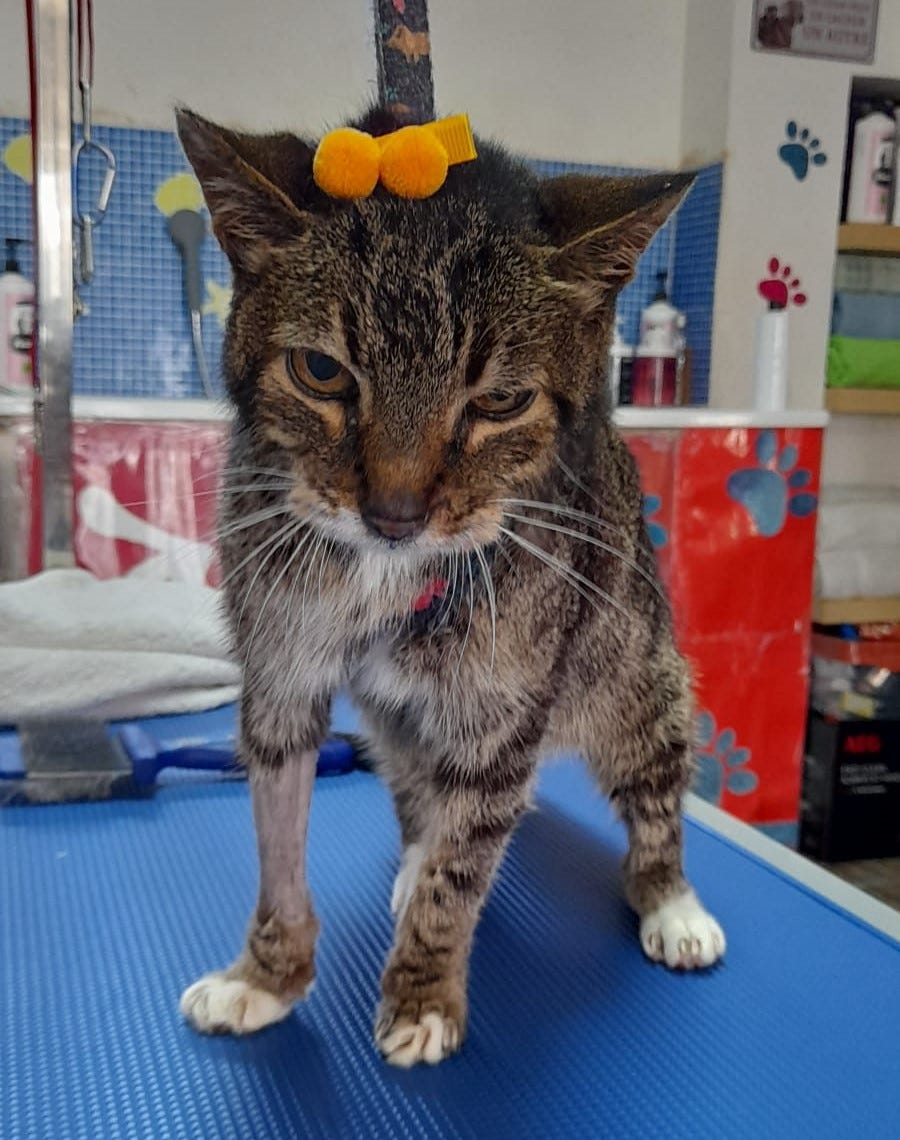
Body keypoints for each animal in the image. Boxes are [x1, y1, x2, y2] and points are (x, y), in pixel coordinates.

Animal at [173, 104, 725, 1067]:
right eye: (322, 372)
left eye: (500, 402)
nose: (394, 512)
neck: (385, 573)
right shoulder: (279, 682)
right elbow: (281, 845)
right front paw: (267, 976)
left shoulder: (501, 720)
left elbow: (461, 873)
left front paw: (424, 991)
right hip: (393, 728)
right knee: (415, 792)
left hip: (640, 684)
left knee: (654, 801)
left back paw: (673, 903)